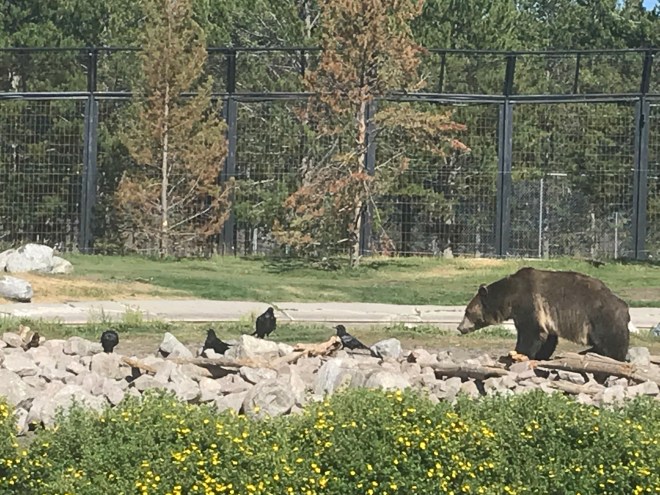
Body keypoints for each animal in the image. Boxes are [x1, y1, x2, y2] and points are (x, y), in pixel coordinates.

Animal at [457, 267, 631, 362]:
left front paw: (519, 353)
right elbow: (547, 338)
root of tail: (624, 306)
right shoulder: (547, 316)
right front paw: (540, 355)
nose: (460, 327)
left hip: (602, 318)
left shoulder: (529, 302)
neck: (509, 297)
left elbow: (530, 332)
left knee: (611, 343)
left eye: (467, 311)